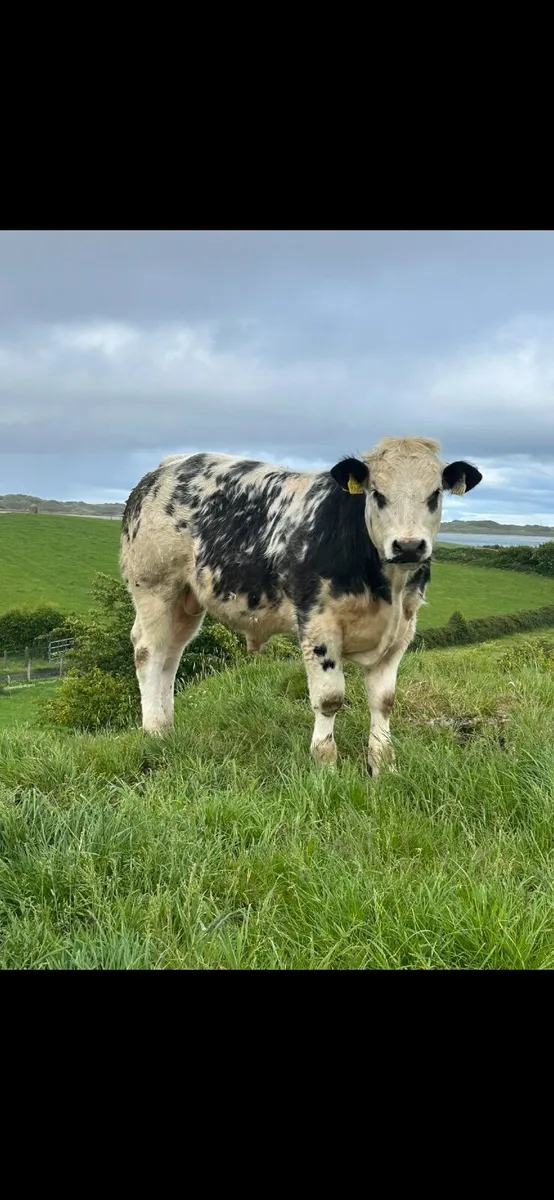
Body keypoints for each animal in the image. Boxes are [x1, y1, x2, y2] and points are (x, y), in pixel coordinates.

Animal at [120, 437, 482, 776]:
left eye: (435, 494)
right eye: (377, 494)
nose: (408, 546)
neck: (385, 587)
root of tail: (168, 467)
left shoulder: (402, 630)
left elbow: (384, 701)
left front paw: (383, 764)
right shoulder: (317, 623)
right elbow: (329, 698)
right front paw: (326, 763)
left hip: (186, 600)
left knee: (171, 655)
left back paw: (168, 727)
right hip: (155, 586)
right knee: (149, 651)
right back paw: (153, 729)